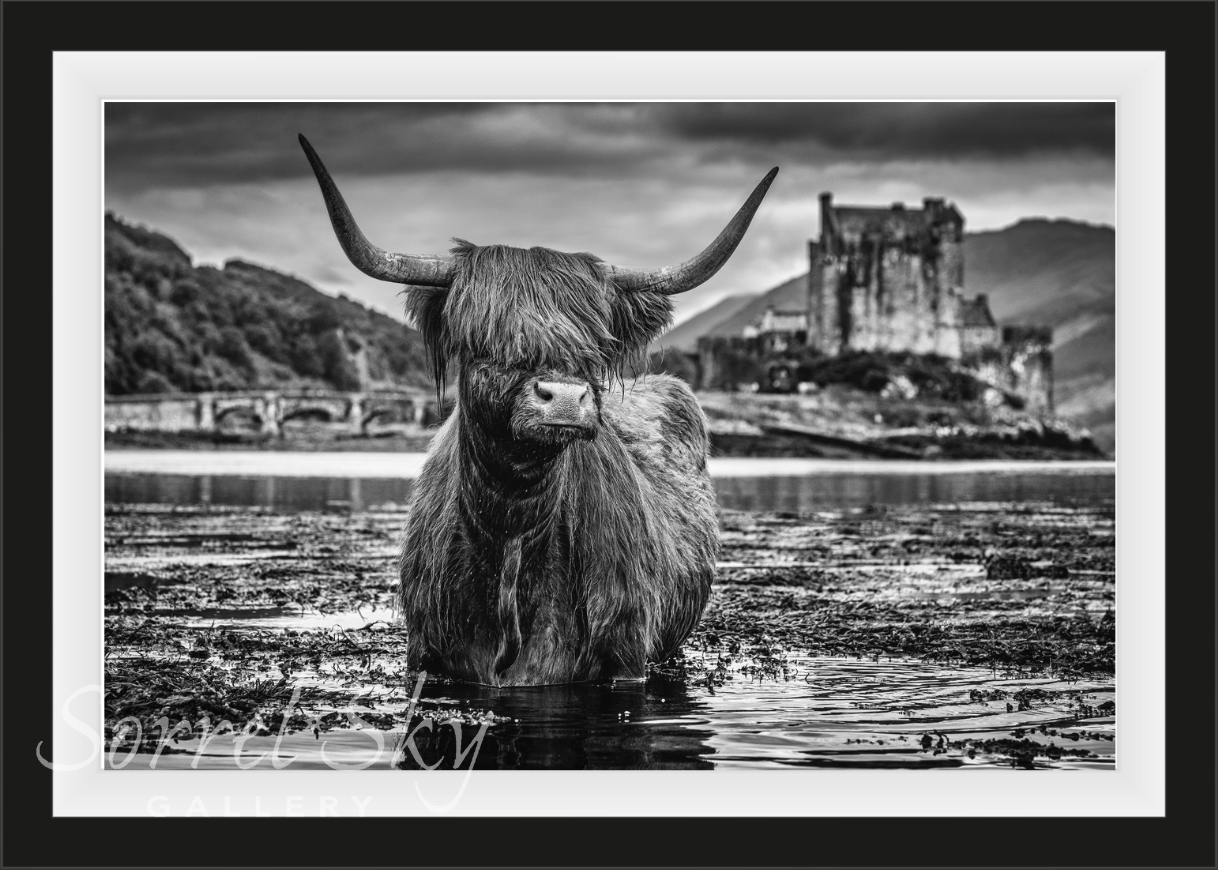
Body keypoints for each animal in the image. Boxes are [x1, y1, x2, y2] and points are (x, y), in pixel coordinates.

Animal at [304, 134, 779, 682]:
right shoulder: (424, 656)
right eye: (485, 337)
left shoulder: (627, 657)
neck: (513, 526)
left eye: (596, 344)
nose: (567, 399)